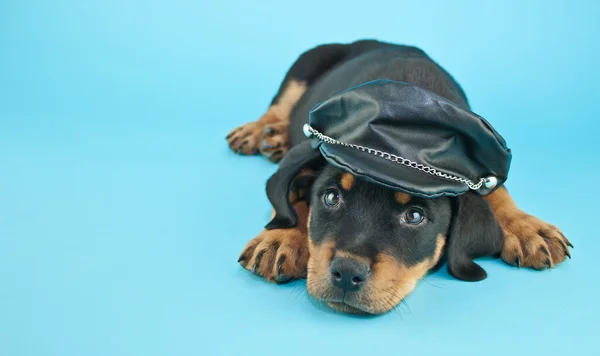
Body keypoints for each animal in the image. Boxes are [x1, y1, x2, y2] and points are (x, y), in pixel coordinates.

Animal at [226, 40, 572, 316]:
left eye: (414, 216)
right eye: (331, 197)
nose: (347, 273)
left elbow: (495, 189)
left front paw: (526, 227)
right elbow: (292, 192)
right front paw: (282, 237)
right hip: (304, 66)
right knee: (279, 106)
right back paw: (260, 133)